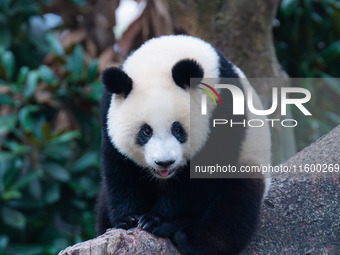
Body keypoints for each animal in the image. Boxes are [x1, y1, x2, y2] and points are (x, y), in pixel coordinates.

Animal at [95, 34, 270, 255]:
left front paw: (158, 220)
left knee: (234, 207)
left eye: (177, 129)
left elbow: (204, 174)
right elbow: (120, 169)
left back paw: (189, 238)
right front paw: (128, 219)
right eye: (145, 131)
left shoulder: (223, 110)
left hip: (249, 162)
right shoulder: (107, 113)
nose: (165, 162)